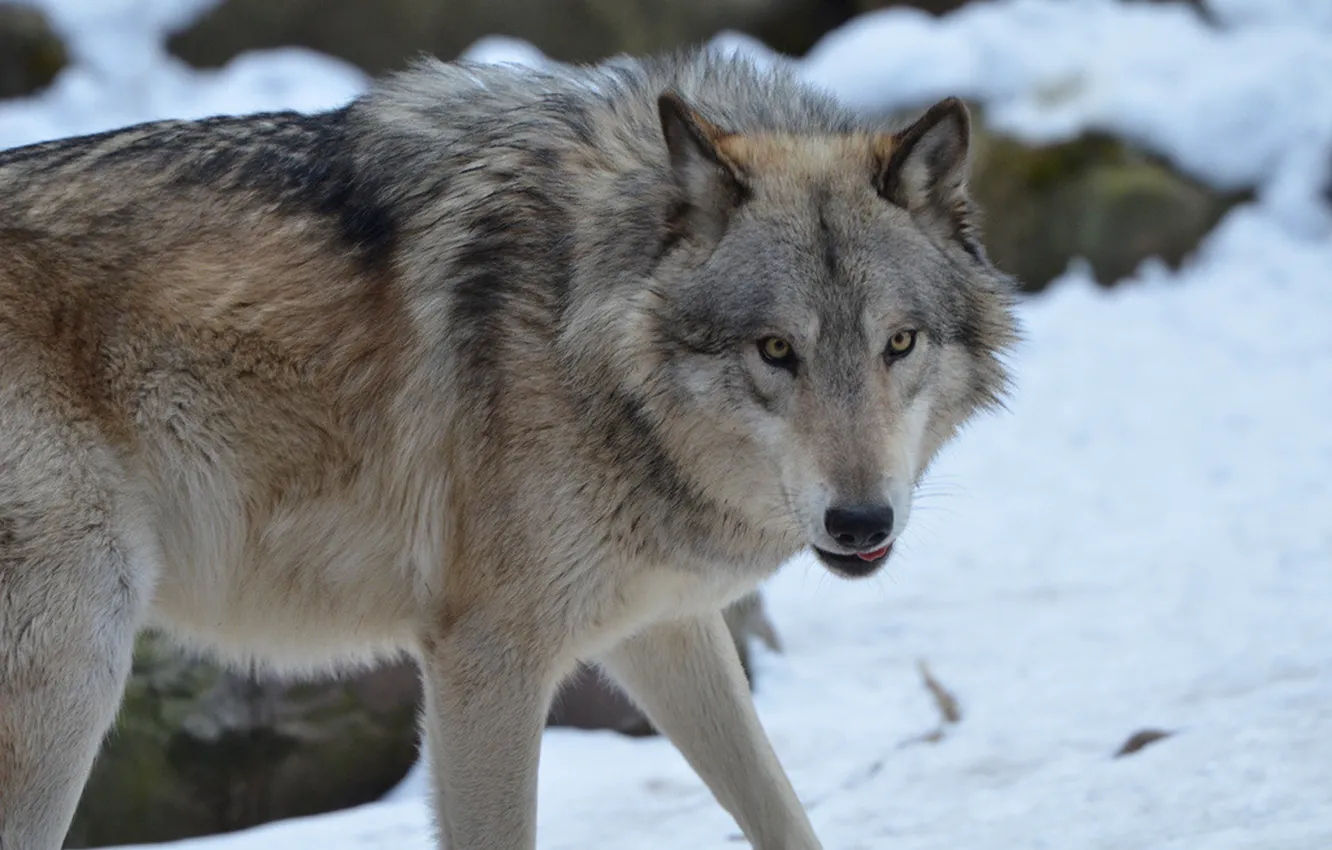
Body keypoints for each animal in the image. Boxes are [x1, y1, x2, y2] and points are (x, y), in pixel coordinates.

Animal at [0, 48, 1016, 849]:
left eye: (899, 343)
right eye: (776, 350)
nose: (860, 523)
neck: (583, 328)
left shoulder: (662, 630)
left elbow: (784, 815)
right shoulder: (485, 660)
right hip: (75, 671)